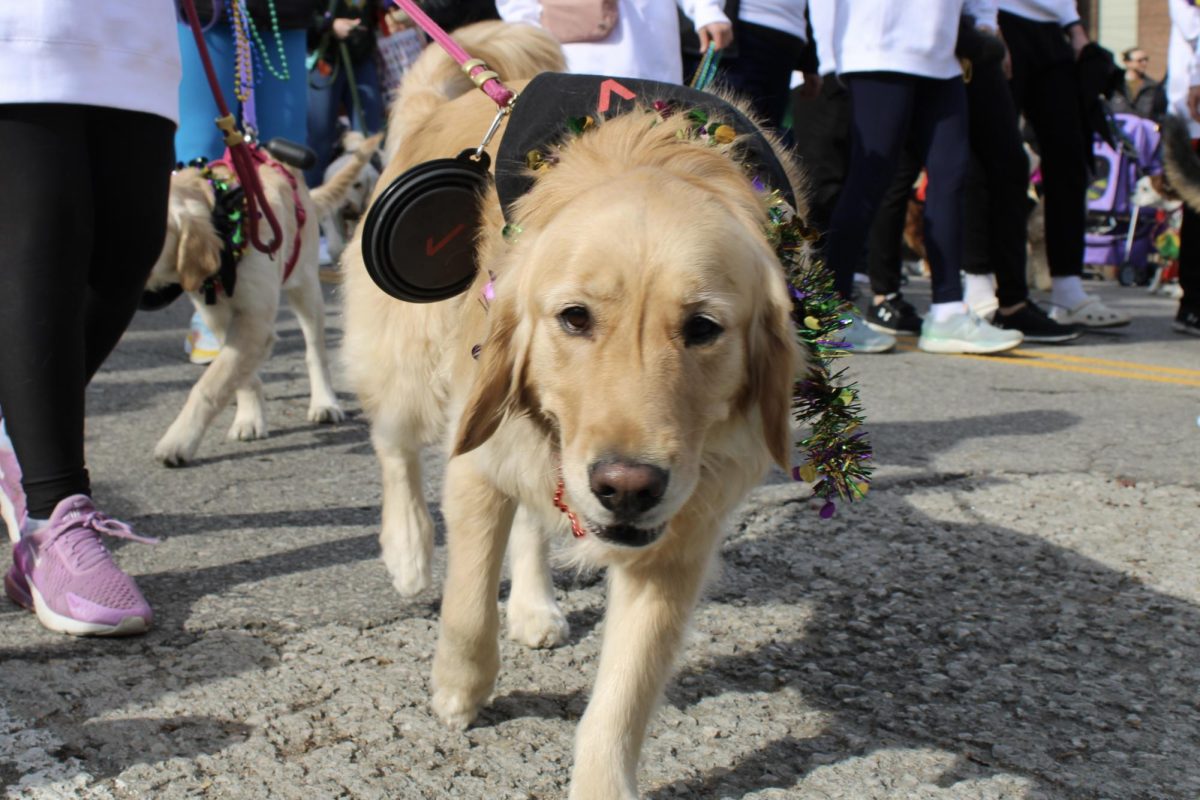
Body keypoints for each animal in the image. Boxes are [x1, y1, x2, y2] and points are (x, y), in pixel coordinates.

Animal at [145, 146, 369, 465]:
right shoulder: (219, 317)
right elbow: (240, 376)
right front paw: (249, 417)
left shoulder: (254, 319)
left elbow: (209, 385)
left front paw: (178, 441)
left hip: (307, 288)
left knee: (316, 352)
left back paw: (325, 402)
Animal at [343, 21, 801, 796]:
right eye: (575, 318)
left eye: (703, 328)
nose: (627, 487)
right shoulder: (479, 454)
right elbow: (468, 603)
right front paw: (459, 686)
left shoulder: (680, 533)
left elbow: (624, 696)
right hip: (409, 361)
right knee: (395, 447)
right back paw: (406, 550)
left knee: (533, 513)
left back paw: (534, 604)